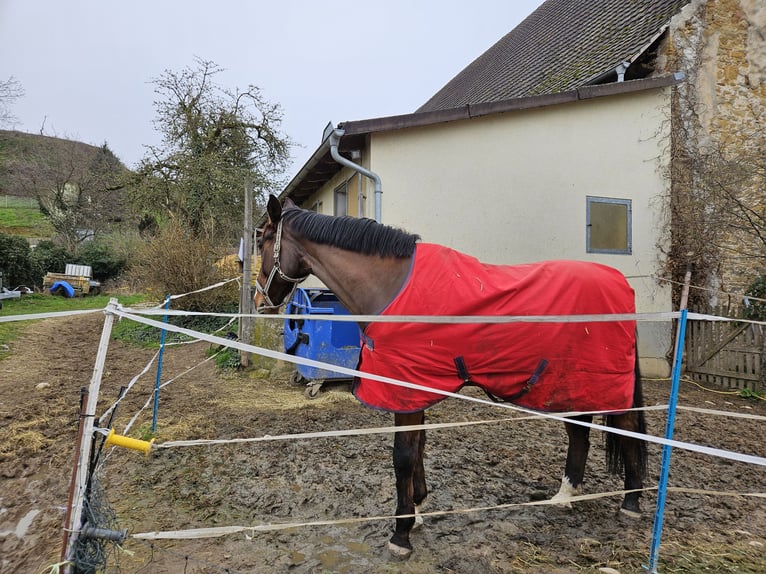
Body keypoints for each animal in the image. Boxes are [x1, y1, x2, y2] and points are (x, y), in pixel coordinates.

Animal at [256, 196, 648, 560]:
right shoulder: (414, 390)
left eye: (262, 241)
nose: (260, 301)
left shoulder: (404, 389)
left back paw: (631, 504)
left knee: (626, 429)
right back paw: (564, 496)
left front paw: (401, 535)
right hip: (571, 384)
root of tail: (621, 285)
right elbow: (418, 448)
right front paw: (417, 510)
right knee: (579, 434)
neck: (392, 287)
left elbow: (403, 456)